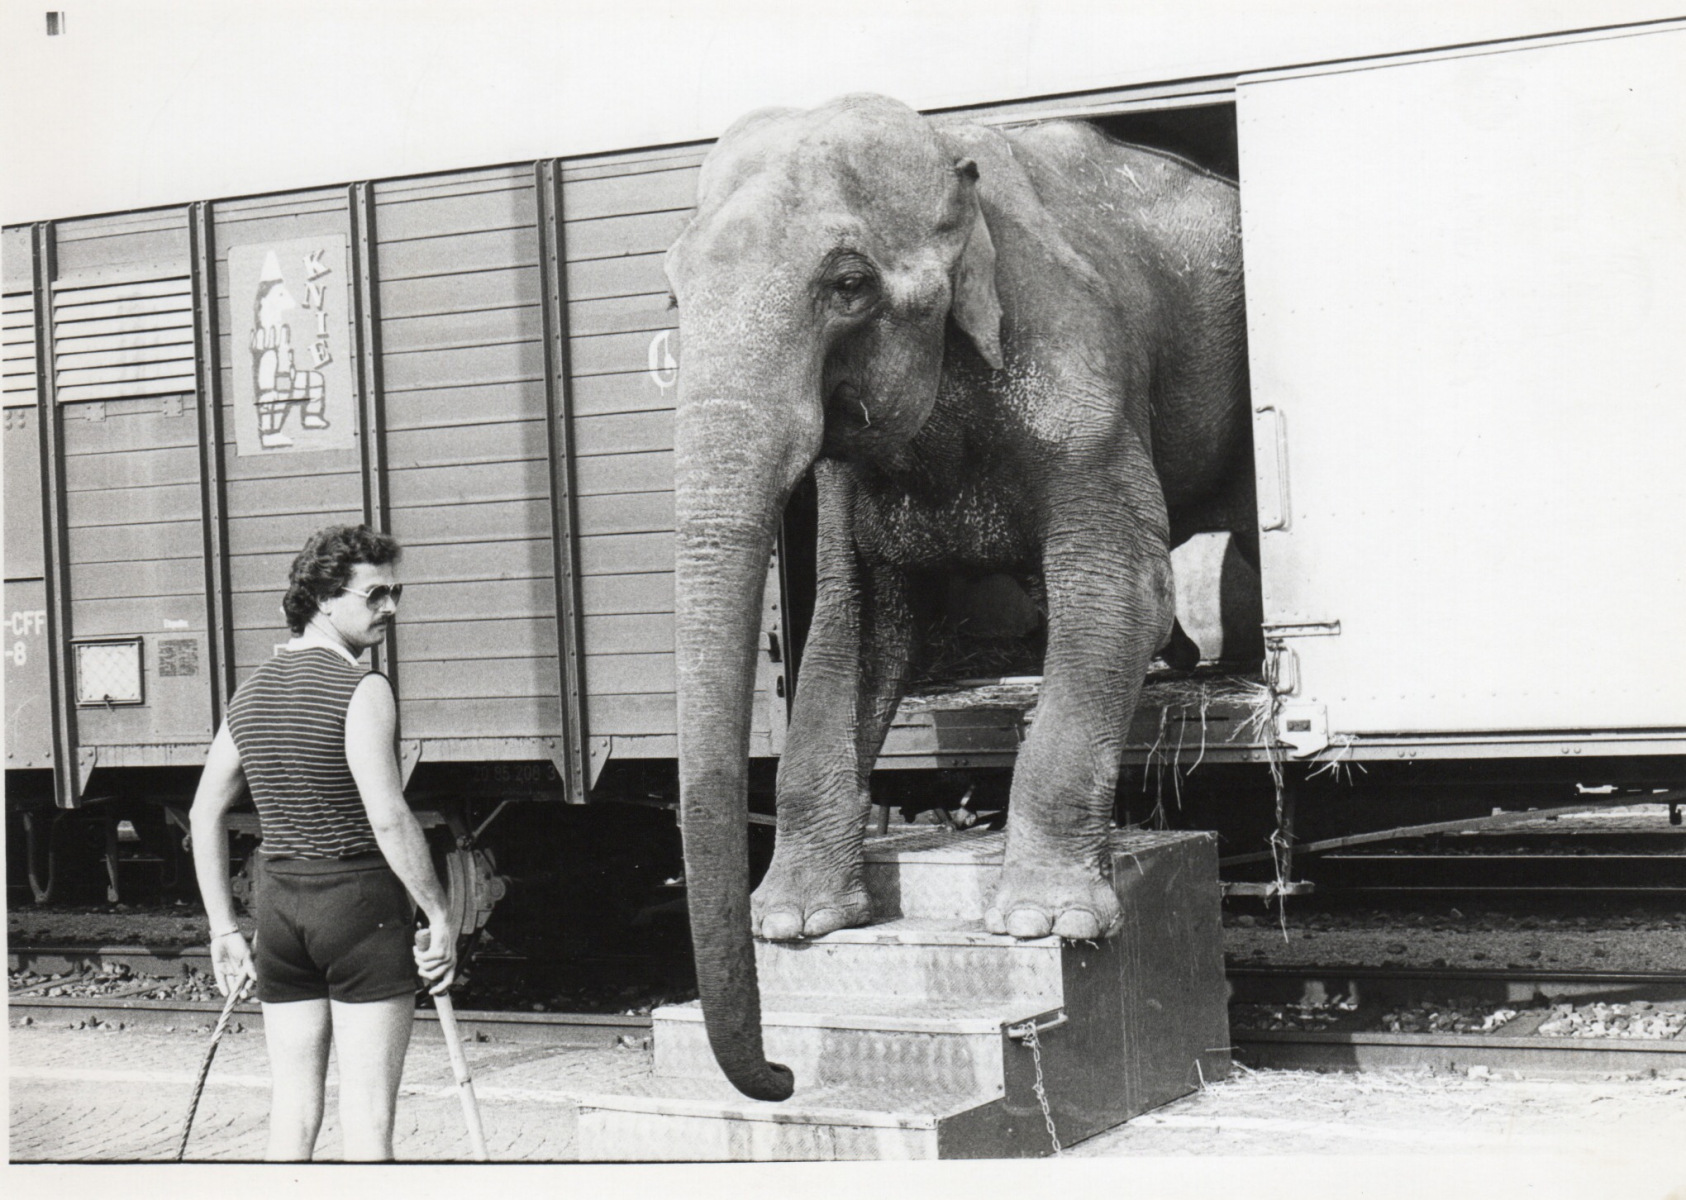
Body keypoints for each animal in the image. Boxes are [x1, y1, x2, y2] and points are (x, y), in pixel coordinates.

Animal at [664, 94, 1253, 1101]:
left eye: (849, 283)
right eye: (673, 288)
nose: (782, 1075)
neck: (952, 152)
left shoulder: (1080, 376)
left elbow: (1117, 582)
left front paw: (1045, 924)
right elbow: (852, 627)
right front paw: (794, 923)